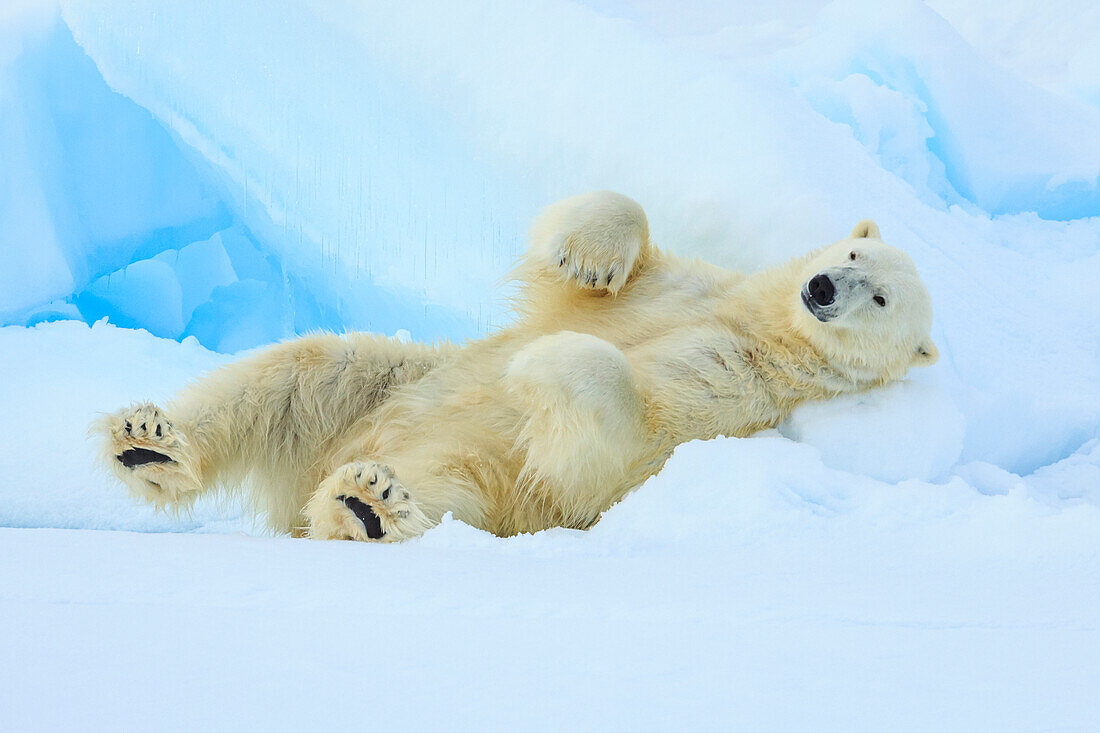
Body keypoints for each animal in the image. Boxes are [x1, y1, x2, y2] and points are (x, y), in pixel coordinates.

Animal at [94, 191, 937, 539]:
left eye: (883, 299)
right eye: (853, 254)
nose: (822, 290)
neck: (760, 324)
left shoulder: (732, 392)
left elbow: (618, 437)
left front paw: (543, 363)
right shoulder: (684, 287)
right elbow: (599, 262)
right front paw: (589, 254)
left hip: (488, 483)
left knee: (443, 487)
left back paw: (366, 505)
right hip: (380, 391)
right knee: (310, 368)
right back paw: (149, 441)